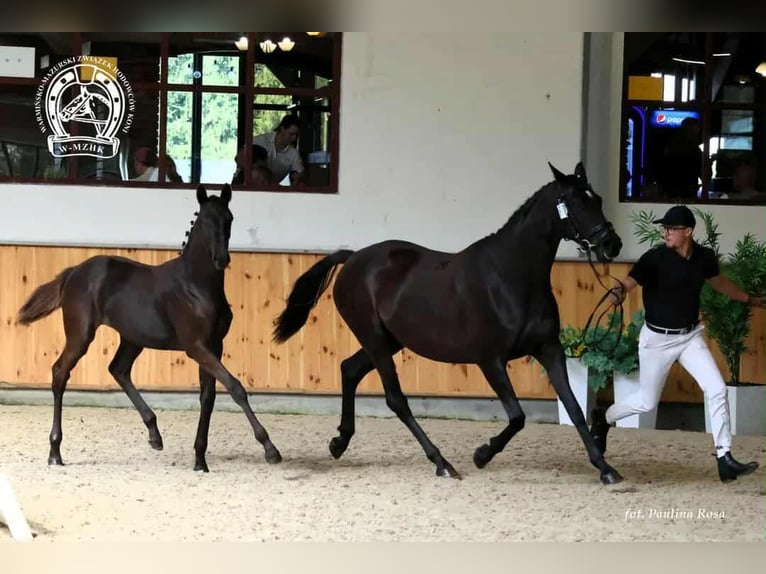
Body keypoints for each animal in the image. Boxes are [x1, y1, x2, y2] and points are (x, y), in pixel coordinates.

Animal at [17, 184, 281, 472]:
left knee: (118, 369)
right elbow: (235, 388)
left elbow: (208, 397)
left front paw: (200, 459)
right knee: (60, 373)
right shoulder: (196, 347)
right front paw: (270, 448)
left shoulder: (214, 346)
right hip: (80, 335)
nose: (221, 259)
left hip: (132, 338)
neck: (196, 286)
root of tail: (74, 271)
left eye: (229, 219)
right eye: (204, 220)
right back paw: (55, 451)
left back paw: (154, 434)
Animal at [273, 162, 624, 484]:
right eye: (576, 202)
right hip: (374, 339)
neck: (511, 276)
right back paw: (441, 462)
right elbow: (517, 416)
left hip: (388, 341)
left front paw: (606, 468)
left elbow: (574, 408)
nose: (612, 244)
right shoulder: (490, 359)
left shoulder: (549, 349)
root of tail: (353, 258)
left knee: (350, 369)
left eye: (598, 199)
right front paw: (481, 455)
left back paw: (339, 442)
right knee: (396, 399)